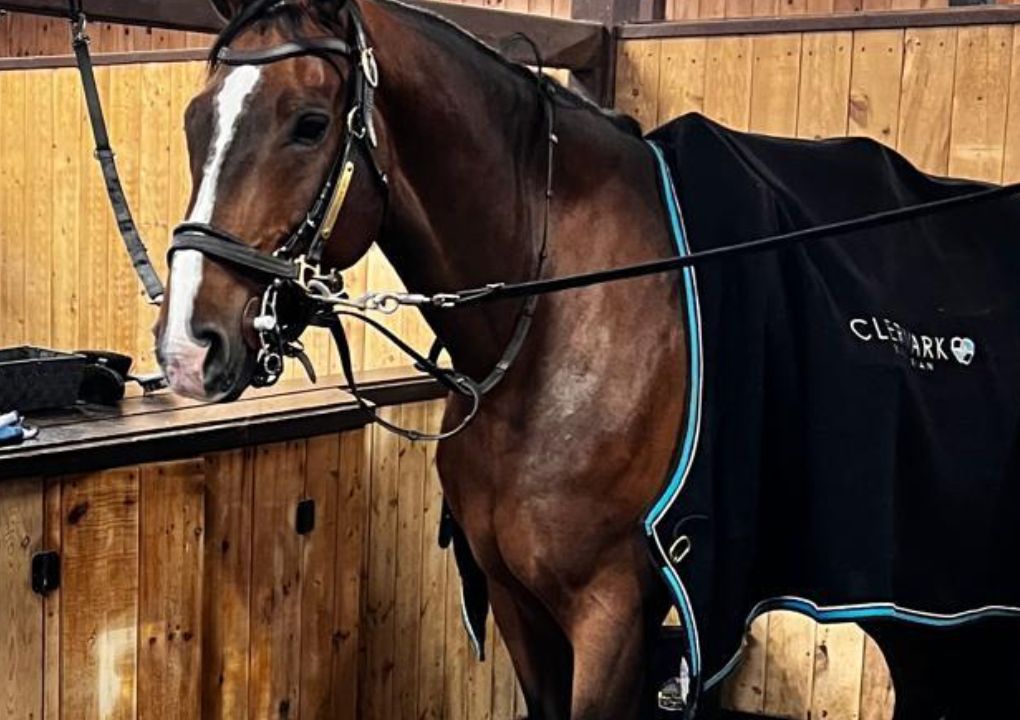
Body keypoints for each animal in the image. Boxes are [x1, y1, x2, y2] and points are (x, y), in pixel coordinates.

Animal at [151, 0, 1020, 717]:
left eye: (307, 123)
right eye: (195, 120)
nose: (190, 347)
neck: (554, 328)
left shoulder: (612, 615)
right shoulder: (517, 605)